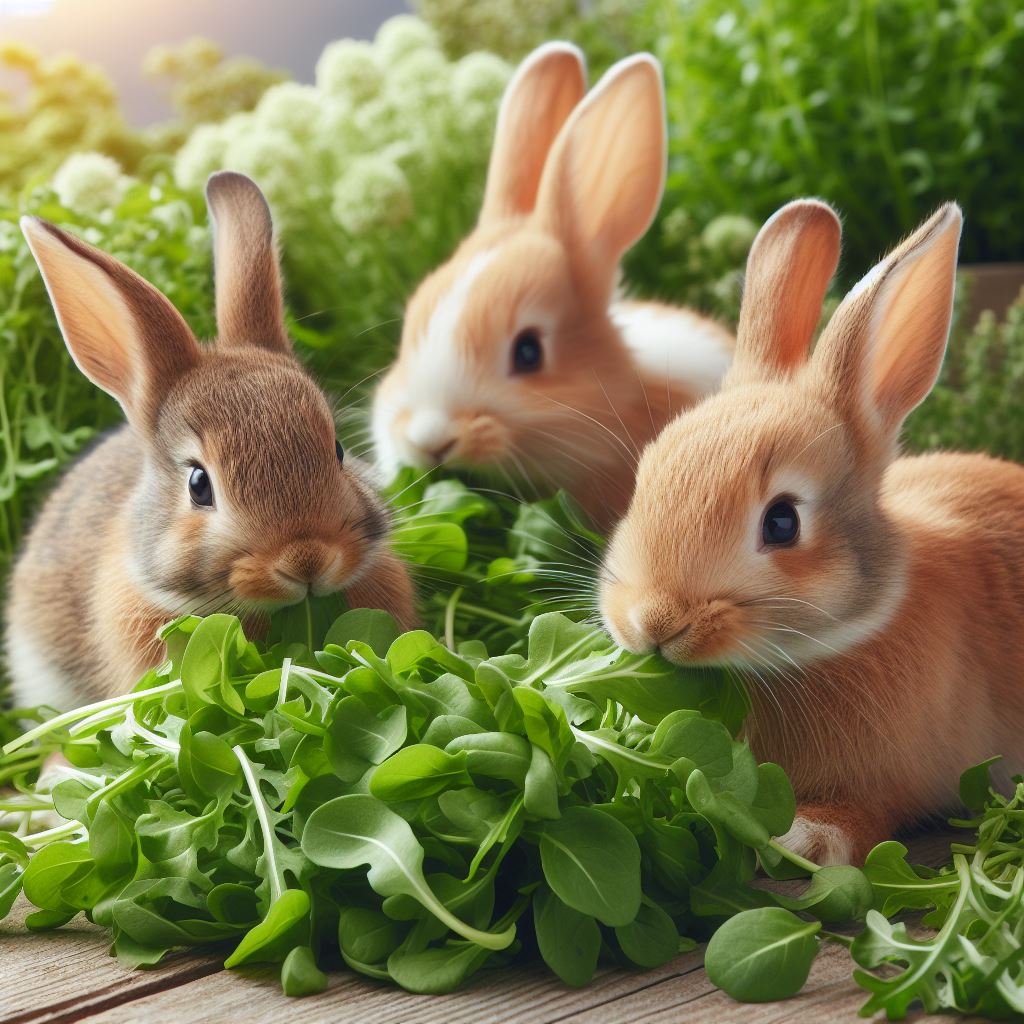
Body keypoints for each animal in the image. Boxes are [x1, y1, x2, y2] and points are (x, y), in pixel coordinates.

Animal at [598, 193, 1024, 864]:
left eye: (782, 521)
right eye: (645, 475)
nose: (654, 622)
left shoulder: (886, 783)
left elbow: (864, 815)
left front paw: (808, 838)